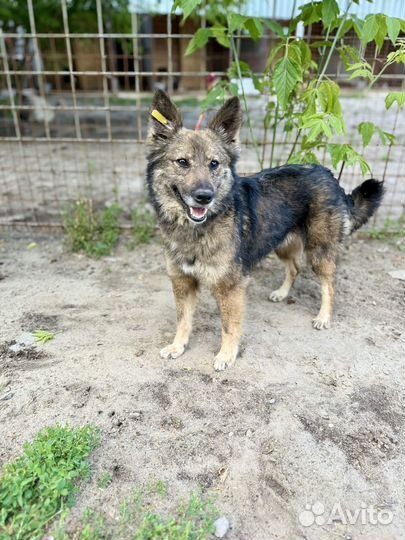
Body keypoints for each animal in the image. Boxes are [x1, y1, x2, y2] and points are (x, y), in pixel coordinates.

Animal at [145, 92, 382, 372]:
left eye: (214, 164)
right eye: (182, 162)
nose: (204, 197)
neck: (196, 231)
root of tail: (328, 174)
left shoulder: (231, 287)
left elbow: (229, 325)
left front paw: (227, 355)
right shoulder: (183, 281)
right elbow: (183, 319)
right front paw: (177, 346)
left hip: (319, 251)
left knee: (329, 283)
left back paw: (324, 316)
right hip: (281, 243)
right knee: (294, 268)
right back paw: (282, 293)